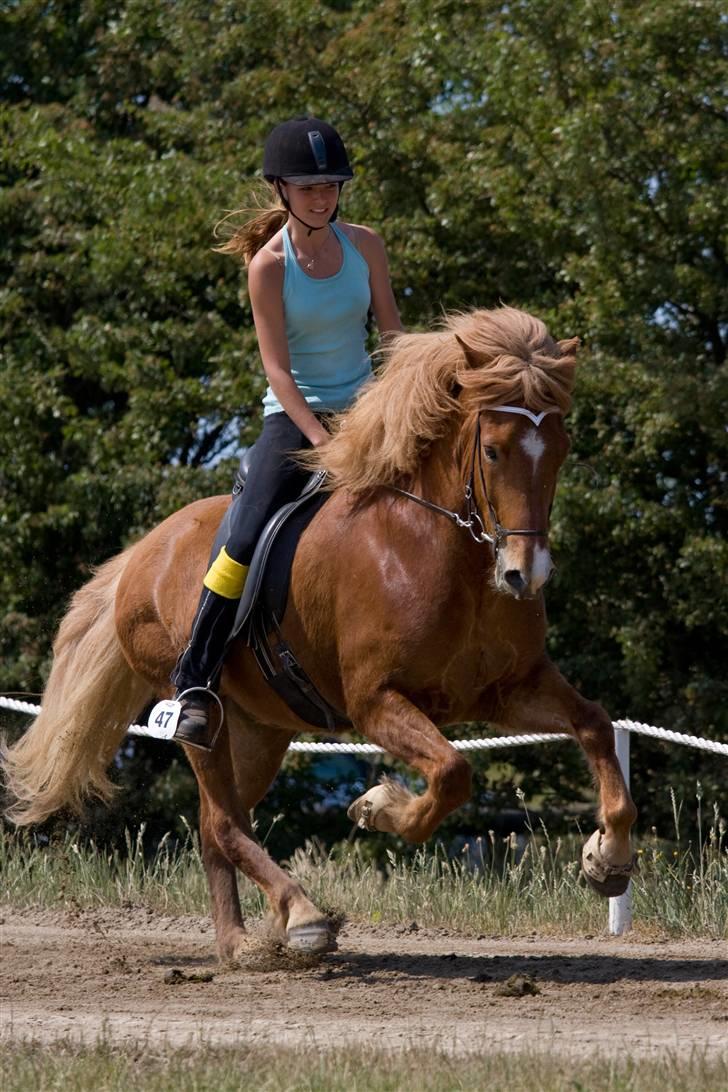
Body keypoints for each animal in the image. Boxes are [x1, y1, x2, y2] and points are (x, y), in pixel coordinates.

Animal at [1, 307, 637, 956]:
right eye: (492, 451)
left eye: (558, 450)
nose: (524, 573)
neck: (440, 548)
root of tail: (141, 554)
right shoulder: (375, 701)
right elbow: (453, 773)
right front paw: (378, 806)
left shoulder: (509, 688)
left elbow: (593, 723)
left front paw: (607, 858)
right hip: (200, 717)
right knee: (223, 818)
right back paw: (302, 915)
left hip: (260, 729)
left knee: (217, 825)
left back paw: (241, 942)